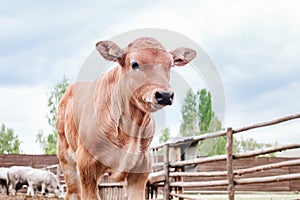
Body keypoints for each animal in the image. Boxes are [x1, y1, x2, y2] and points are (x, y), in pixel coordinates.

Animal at [56, 36, 197, 199]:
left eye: (171, 66)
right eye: (134, 64)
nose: (165, 95)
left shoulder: (141, 169)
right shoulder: (86, 165)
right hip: (66, 158)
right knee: (73, 192)